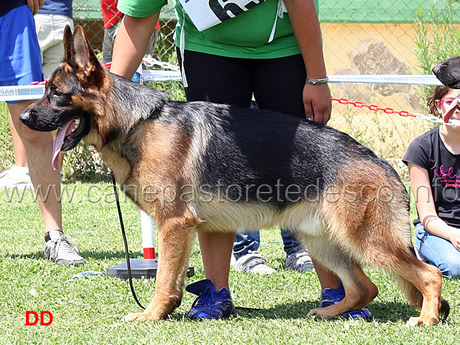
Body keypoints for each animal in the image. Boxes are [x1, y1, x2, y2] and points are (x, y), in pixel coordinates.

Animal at [19, 26, 448, 322]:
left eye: (56, 94)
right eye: (45, 91)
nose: (23, 118)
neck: (138, 121)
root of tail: (382, 162)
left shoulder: (174, 225)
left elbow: (162, 280)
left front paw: (151, 315)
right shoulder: (182, 229)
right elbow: (173, 280)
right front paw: (170, 310)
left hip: (366, 241)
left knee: (428, 274)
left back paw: (425, 319)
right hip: (323, 241)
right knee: (364, 287)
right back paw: (329, 312)